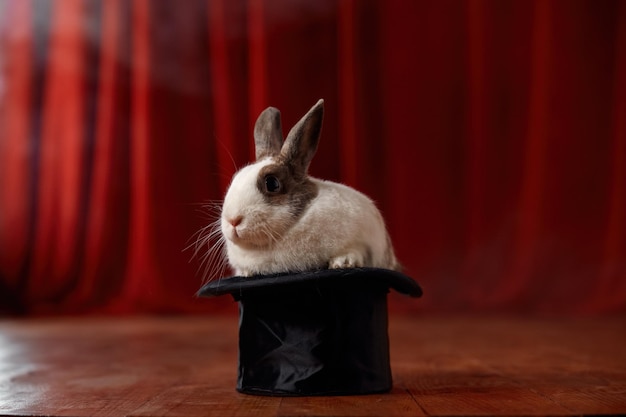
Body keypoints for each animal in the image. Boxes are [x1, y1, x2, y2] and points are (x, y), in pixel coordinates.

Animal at [219, 98, 398, 276]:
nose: (233, 220)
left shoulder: (365, 239)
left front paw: (342, 262)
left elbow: (355, 250)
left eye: (272, 183)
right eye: (236, 177)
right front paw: (244, 273)